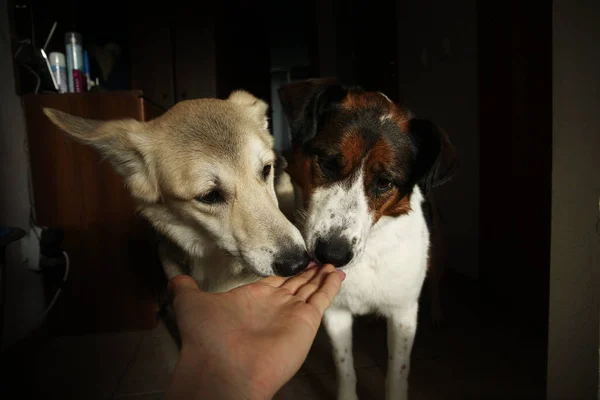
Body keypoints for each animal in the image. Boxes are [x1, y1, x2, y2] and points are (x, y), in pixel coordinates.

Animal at [278, 79, 458, 400]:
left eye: (385, 182)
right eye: (327, 162)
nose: (332, 255)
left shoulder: (403, 314)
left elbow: (397, 375)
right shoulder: (336, 312)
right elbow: (345, 368)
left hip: (438, 250)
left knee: (436, 281)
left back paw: (437, 314)